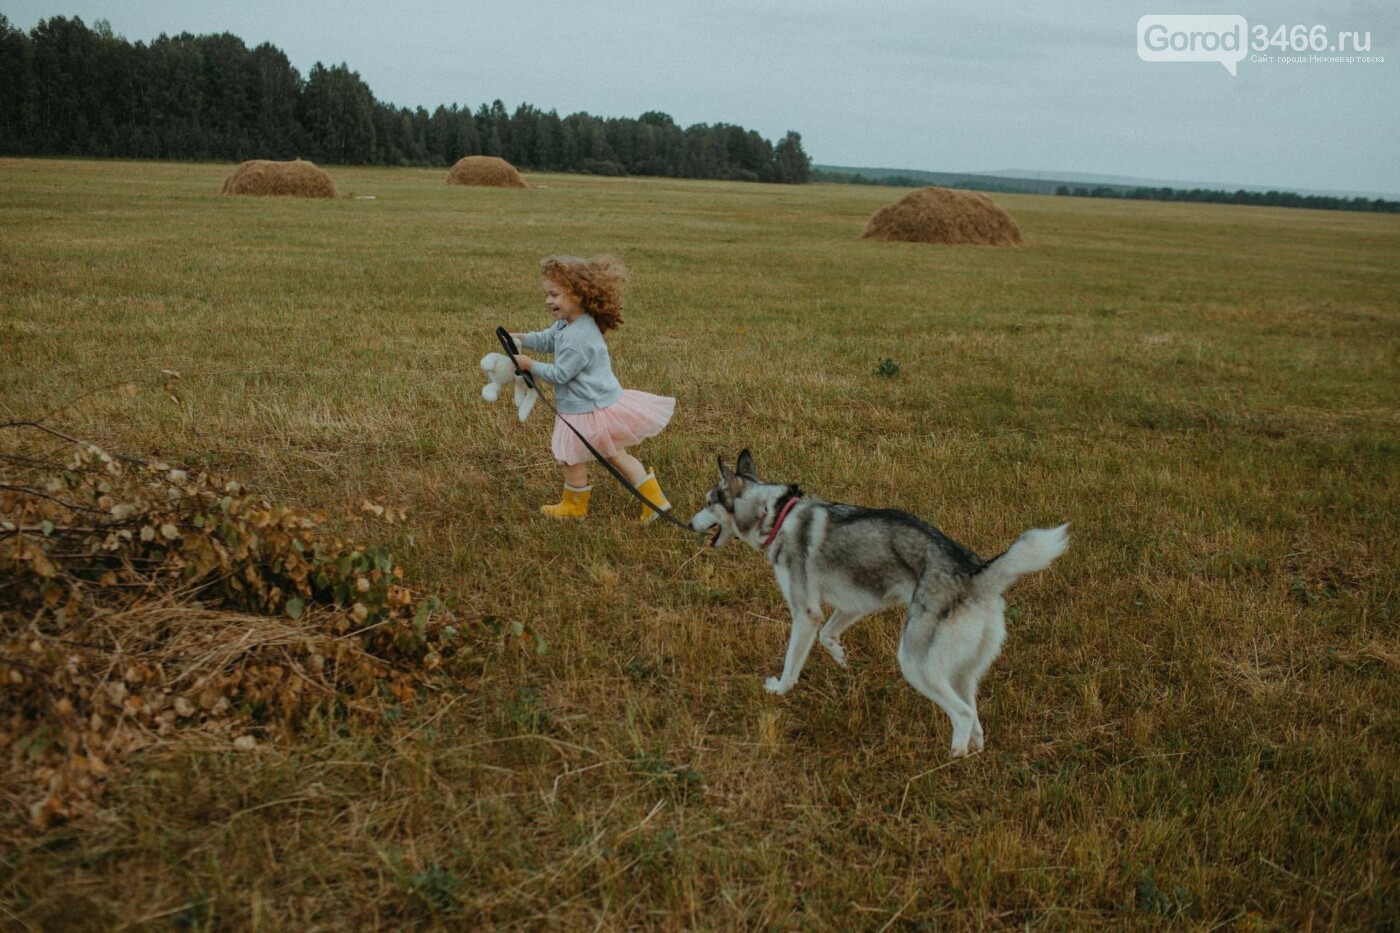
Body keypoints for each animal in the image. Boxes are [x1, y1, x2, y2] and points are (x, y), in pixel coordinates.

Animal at [691, 451, 1069, 756]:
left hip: (917, 664)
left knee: (962, 713)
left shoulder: (805, 613)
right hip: (962, 670)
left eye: (708, 502)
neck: (775, 514)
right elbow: (828, 636)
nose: (691, 524)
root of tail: (973, 573)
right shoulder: (854, 603)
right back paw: (974, 750)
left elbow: (791, 664)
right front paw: (841, 657)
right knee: (973, 713)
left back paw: (955, 756)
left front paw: (780, 690)